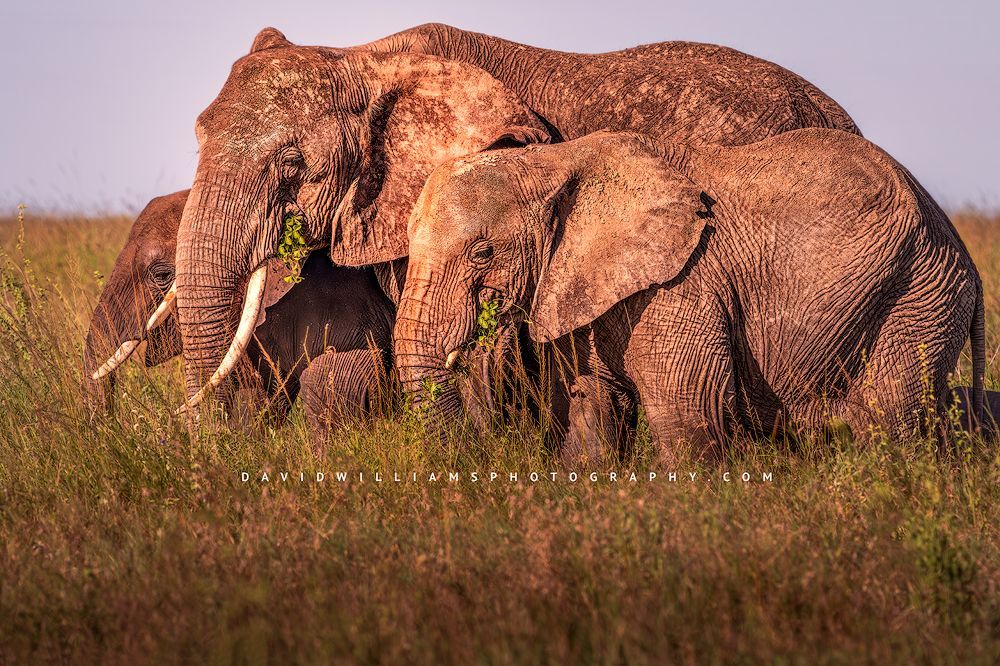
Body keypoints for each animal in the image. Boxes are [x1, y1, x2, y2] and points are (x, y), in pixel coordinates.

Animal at [394, 129, 985, 463]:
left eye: (483, 252)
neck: (553, 161)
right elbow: (591, 410)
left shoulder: (682, 286)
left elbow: (687, 416)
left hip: (919, 296)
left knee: (890, 423)